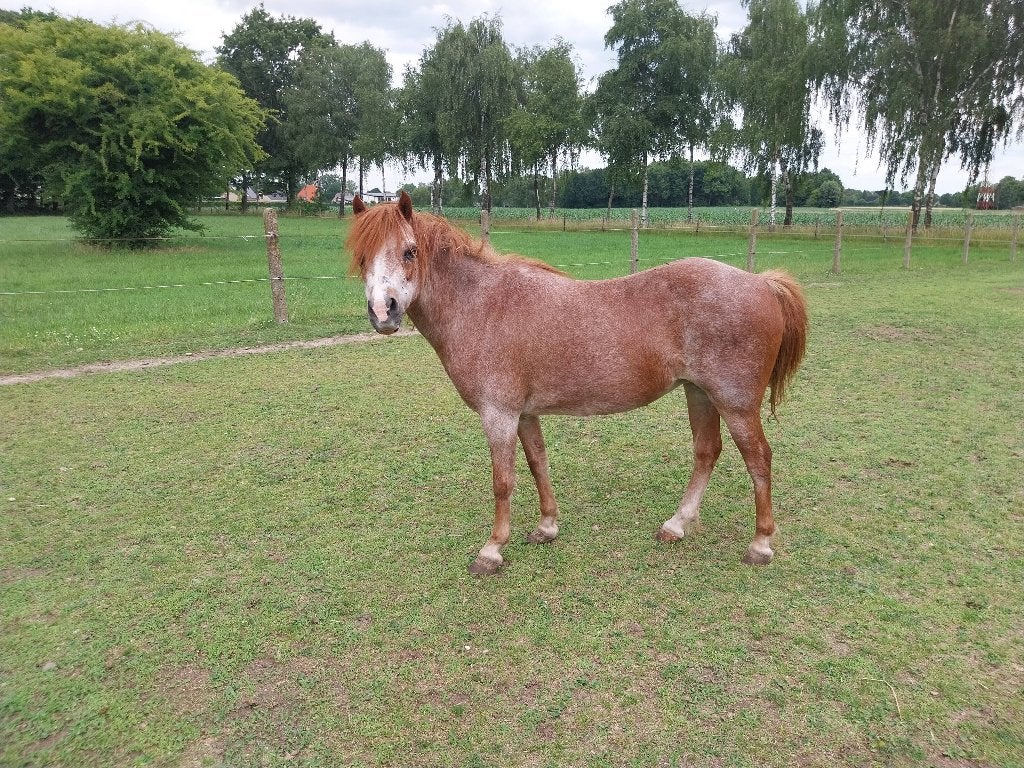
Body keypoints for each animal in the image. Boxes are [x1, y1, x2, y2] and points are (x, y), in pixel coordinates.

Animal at [346, 191, 808, 575]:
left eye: (409, 251)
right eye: (363, 257)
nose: (383, 312)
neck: (482, 305)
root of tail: (760, 282)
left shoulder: (498, 414)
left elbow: (503, 482)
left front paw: (492, 551)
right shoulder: (524, 413)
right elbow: (537, 463)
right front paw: (547, 526)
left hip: (735, 403)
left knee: (759, 460)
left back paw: (760, 545)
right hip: (700, 394)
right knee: (707, 452)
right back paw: (676, 525)